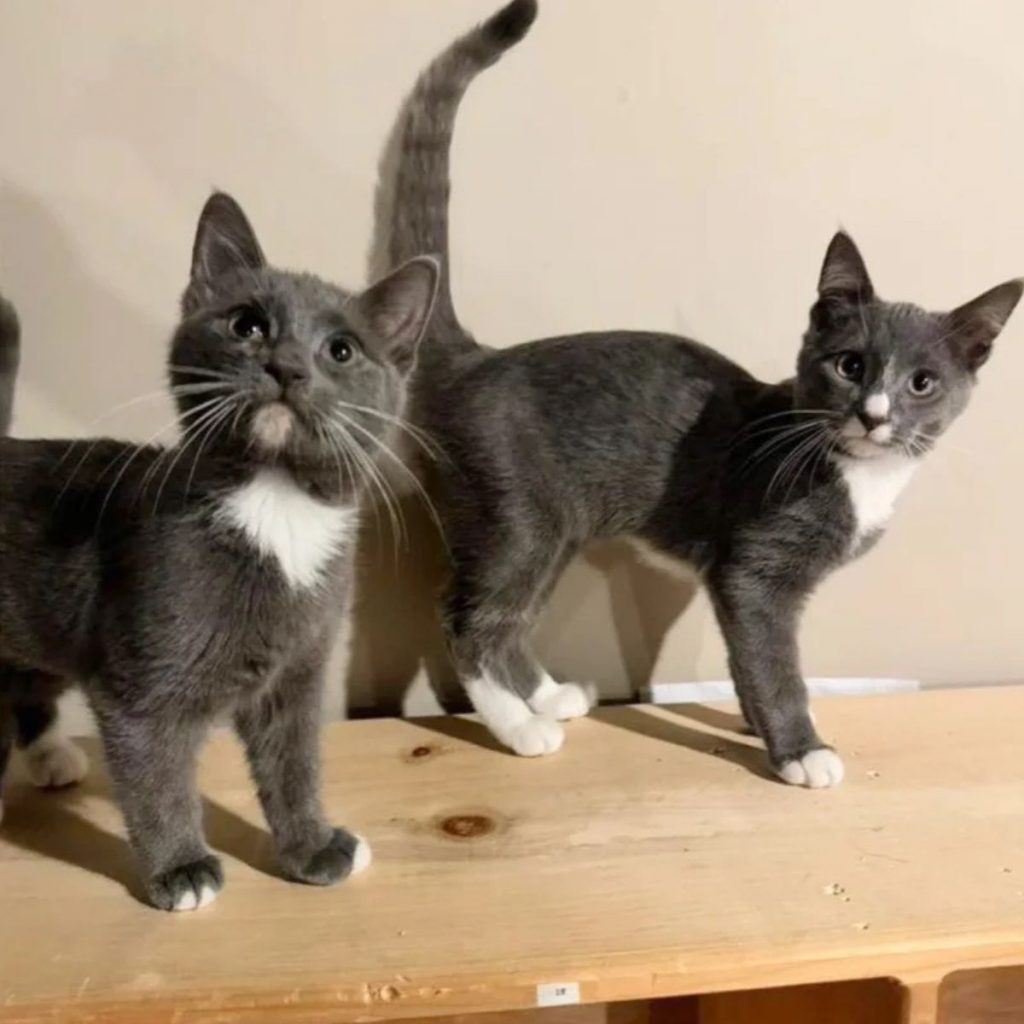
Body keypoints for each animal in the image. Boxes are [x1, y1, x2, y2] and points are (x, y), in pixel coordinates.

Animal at [0, 190, 436, 905]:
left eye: (342, 350)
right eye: (247, 325)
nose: (287, 366)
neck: (276, 504)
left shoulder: (297, 669)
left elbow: (294, 763)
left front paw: (312, 846)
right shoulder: (138, 682)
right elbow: (155, 778)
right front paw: (180, 869)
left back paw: (49, 757)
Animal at [378, 2, 1024, 782]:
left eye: (922, 383)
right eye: (850, 365)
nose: (875, 414)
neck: (859, 476)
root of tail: (479, 358)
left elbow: (751, 661)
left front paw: (755, 723)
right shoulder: (753, 569)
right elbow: (772, 660)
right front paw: (800, 749)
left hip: (557, 525)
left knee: (511, 612)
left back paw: (549, 696)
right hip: (513, 512)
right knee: (467, 615)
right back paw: (520, 727)